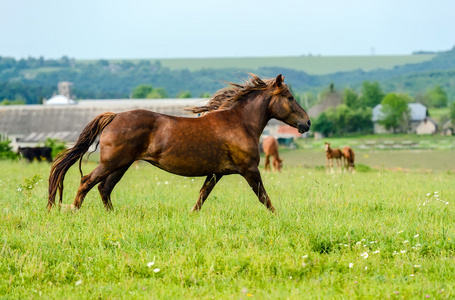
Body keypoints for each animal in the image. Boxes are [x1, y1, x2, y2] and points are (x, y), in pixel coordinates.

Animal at [49, 74, 314, 212]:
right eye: (290, 97)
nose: (308, 123)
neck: (239, 123)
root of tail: (113, 116)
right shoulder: (249, 170)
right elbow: (264, 198)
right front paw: (278, 217)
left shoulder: (216, 173)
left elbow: (202, 196)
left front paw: (192, 215)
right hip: (112, 163)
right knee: (87, 182)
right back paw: (73, 210)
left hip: (121, 165)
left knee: (104, 188)